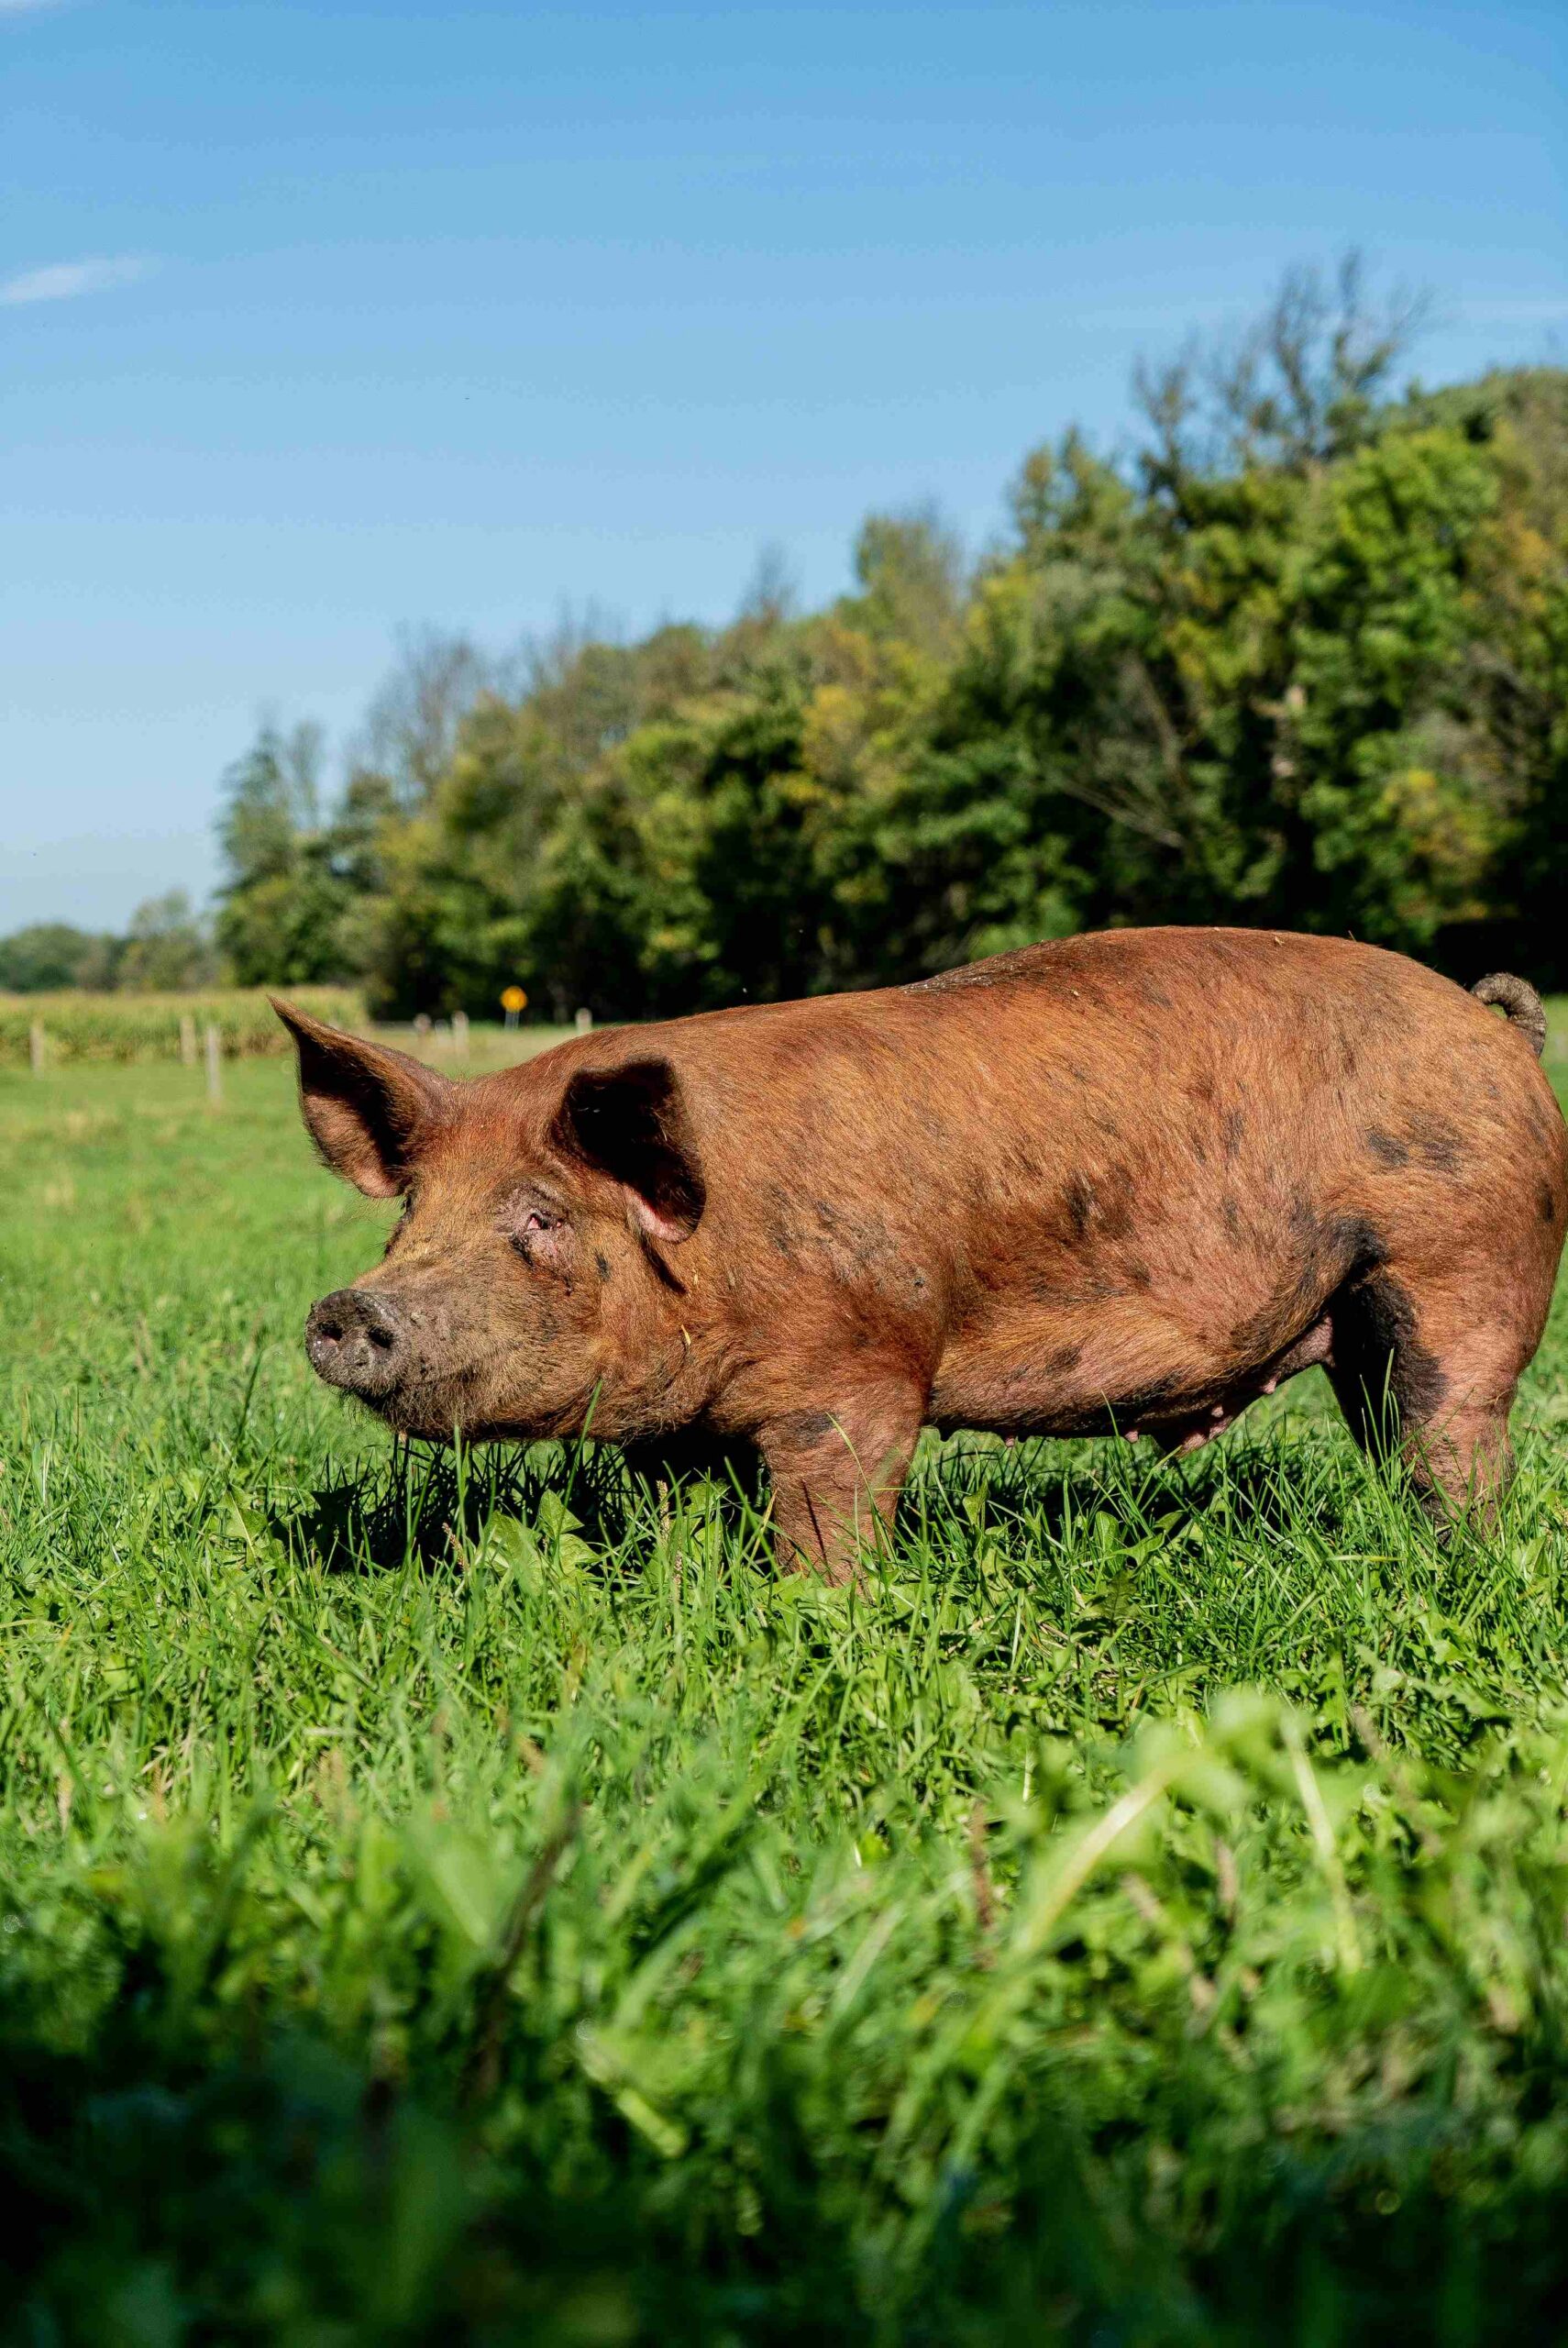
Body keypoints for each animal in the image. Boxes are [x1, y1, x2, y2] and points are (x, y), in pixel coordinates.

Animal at [277, 927, 1567, 1582]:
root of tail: (1491, 1021)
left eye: (541, 1216)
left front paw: (818, 1614)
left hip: (1462, 1262)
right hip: (1356, 1312)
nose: (346, 1308)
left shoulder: (861, 1367)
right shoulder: (684, 1426)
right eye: (410, 1215)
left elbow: (832, 1513)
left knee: (1456, 1433)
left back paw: (1452, 1563)